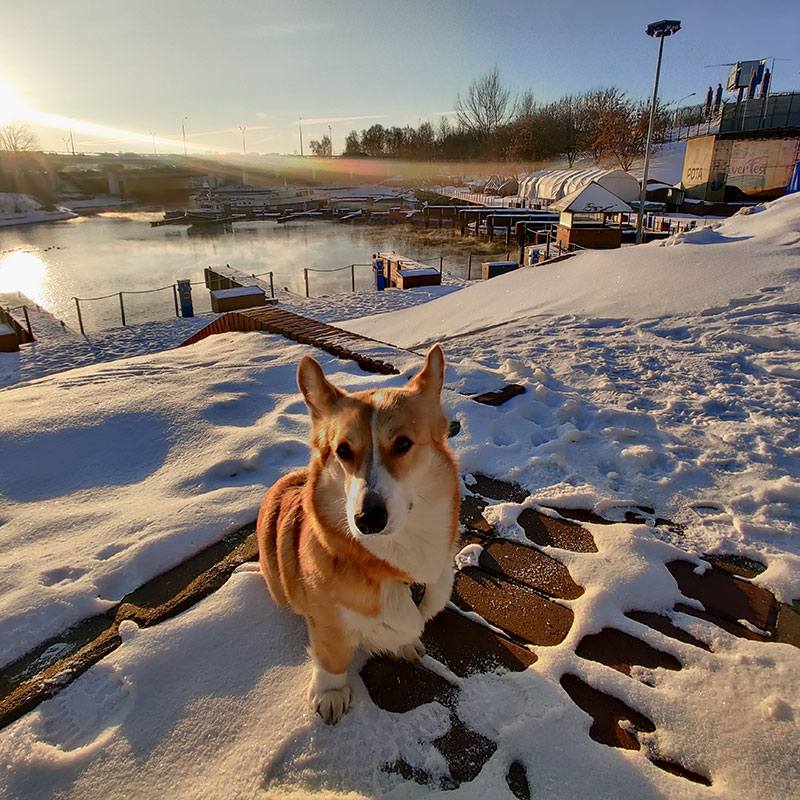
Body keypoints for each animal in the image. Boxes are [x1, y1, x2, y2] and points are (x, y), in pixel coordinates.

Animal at [253, 344, 460, 724]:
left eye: (403, 444)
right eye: (342, 450)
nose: (368, 519)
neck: (395, 562)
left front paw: (404, 644)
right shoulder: (329, 627)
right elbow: (332, 661)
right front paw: (331, 696)